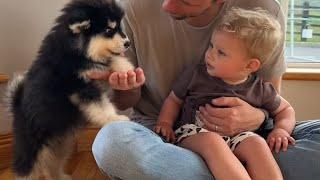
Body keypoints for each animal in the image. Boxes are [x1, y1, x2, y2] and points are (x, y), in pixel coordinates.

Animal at [7, 0, 133, 179]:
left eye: (119, 28)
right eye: (109, 30)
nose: (127, 43)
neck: (75, 51)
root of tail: (16, 106)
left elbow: (109, 60)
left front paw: (125, 67)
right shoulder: (80, 87)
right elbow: (101, 106)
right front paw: (114, 118)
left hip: (60, 143)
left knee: (52, 164)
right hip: (31, 144)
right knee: (26, 168)